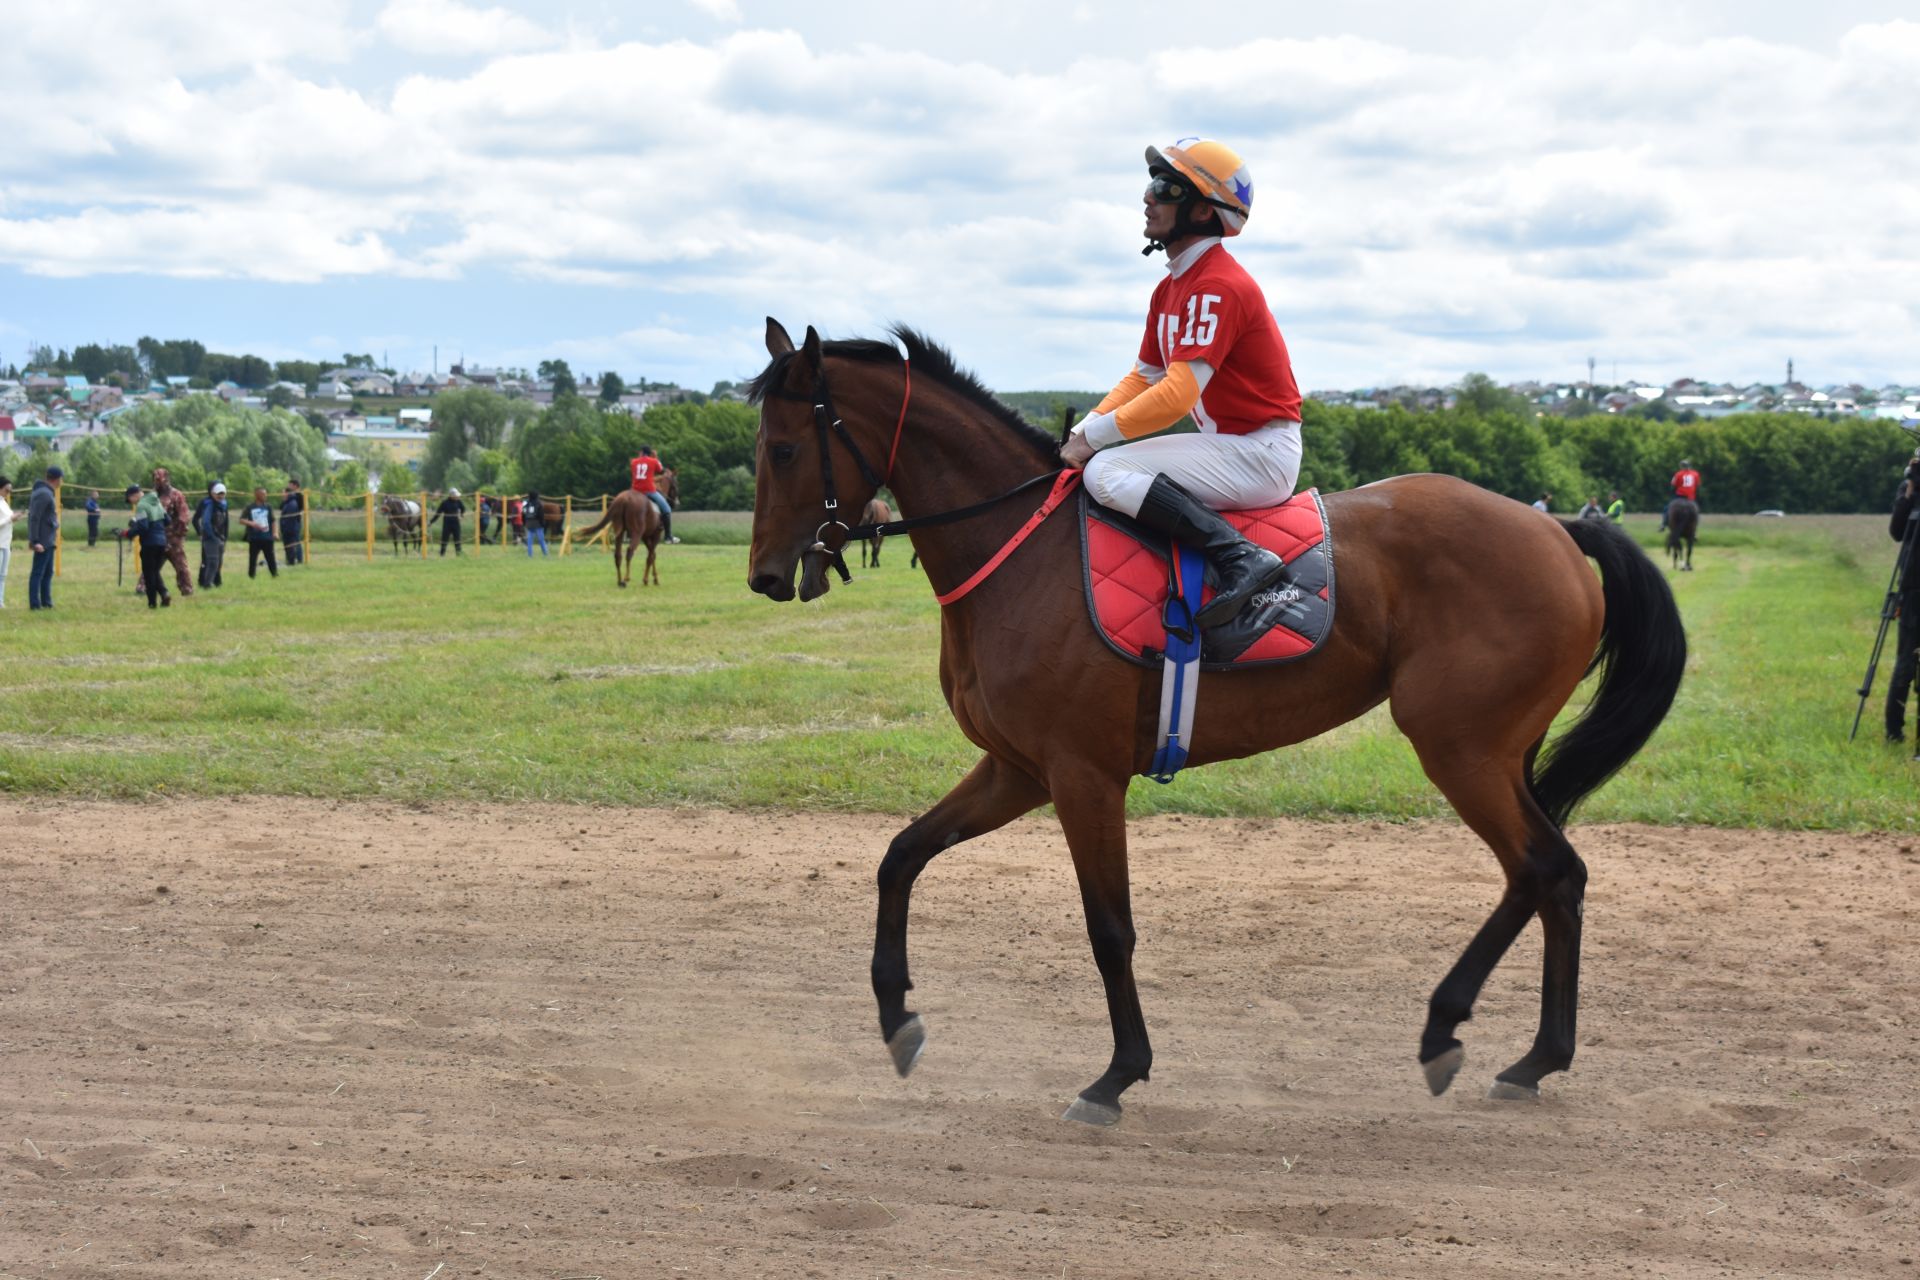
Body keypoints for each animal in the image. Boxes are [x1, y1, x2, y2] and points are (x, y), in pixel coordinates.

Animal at [741, 320, 1689, 1128]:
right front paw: (895, 1015)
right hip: (1498, 752)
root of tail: (1554, 527)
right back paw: (1532, 1057)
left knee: (1541, 869)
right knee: (1554, 876)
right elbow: (900, 856)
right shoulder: (1017, 770)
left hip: (1460, 747)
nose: (764, 577)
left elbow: (1109, 928)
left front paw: (1117, 1074)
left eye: (783, 448)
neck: (1020, 549)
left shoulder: (1083, 775)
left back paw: (1453, 1031)